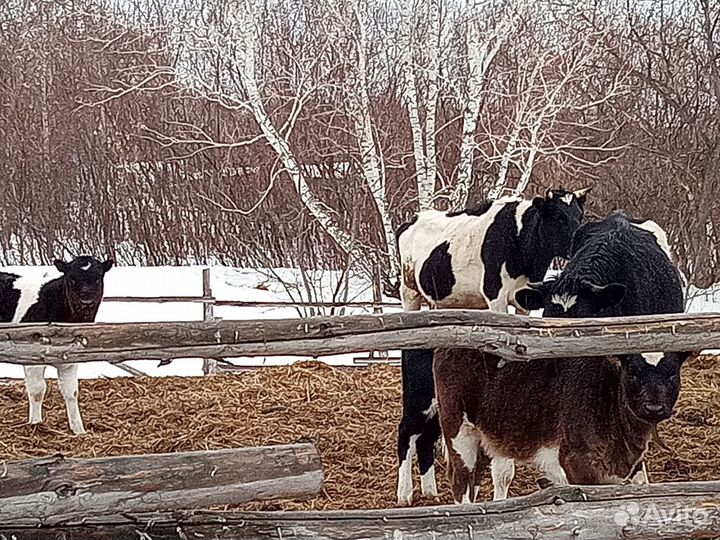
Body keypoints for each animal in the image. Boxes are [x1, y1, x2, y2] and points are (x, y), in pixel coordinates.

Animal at [1, 256, 114, 435]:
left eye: (97, 278)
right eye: (72, 279)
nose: (86, 301)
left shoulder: (70, 359)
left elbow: (72, 392)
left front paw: (79, 430)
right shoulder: (31, 356)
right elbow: (37, 390)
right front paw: (36, 424)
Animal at [395, 187, 591, 506]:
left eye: (579, 215)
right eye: (559, 216)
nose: (577, 243)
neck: (519, 239)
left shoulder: (524, 300)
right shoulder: (495, 295)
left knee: (427, 439)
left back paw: (430, 491)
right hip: (409, 293)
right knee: (407, 433)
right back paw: (405, 493)